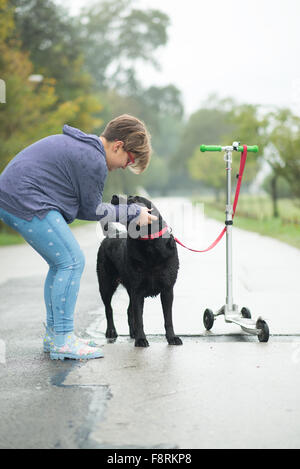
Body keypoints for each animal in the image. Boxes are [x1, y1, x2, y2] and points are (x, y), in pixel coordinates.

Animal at [96, 196, 182, 346]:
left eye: (134, 200)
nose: (114, 196)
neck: (149, 244)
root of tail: (113, 233)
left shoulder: (167, 290)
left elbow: (168, 318)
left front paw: (172, 337)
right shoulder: (137, 290)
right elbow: (139, 318)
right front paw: (141, 339)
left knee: (129, 311)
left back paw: (133, 333)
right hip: (106, 285)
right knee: (109, 309)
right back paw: (111, 331)